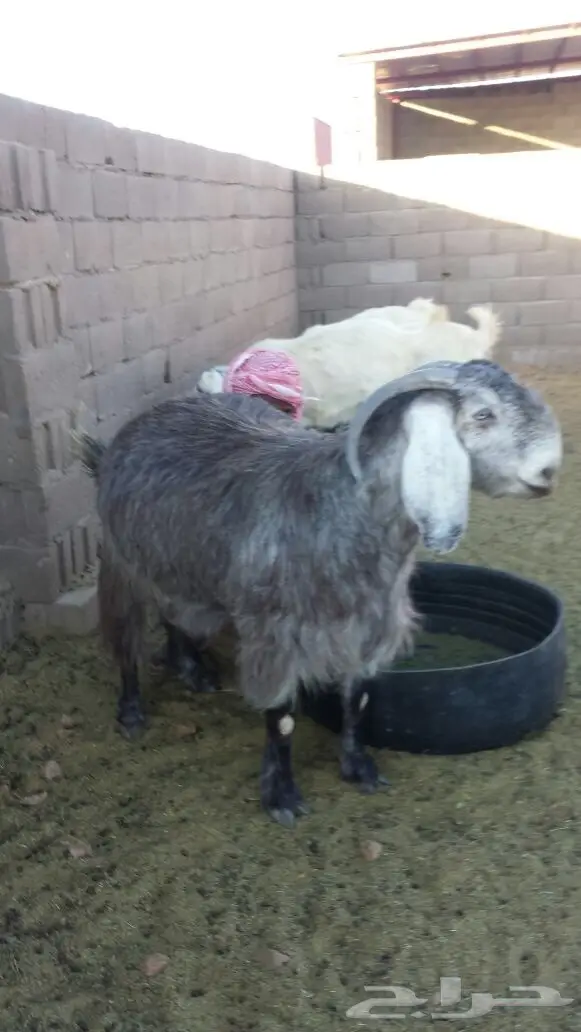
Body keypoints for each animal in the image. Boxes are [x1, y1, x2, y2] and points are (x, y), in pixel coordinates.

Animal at [76, 360, 561, 827]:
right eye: (483, 415)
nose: (548, 470)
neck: (338, 510)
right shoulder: (276, 637)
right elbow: (283, 719)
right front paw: (282, 797)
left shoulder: (368, 627)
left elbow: (358, 700)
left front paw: (358, 769)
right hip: (122, 565)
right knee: (126, 639)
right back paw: (132, 710)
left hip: (181, 564)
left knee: (176, 614)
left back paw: (191, 668)